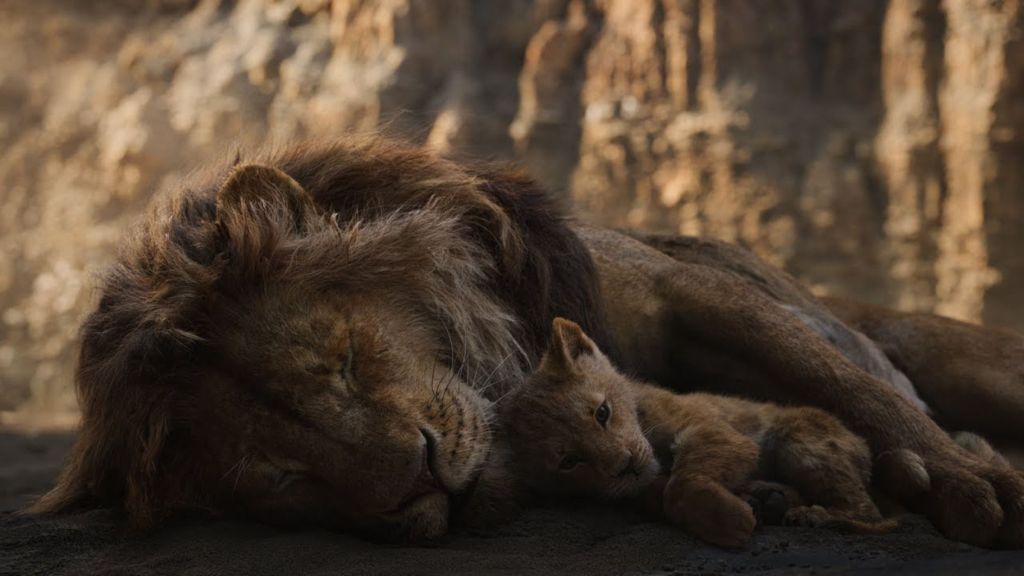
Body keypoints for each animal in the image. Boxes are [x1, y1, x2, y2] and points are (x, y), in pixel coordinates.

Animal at [502, 317, 897, 548]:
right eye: (569, 461)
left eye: (602, 413)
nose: (625, 465)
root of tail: (861, 444)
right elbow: (660, 492)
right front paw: (740, 509)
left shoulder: (715, 431)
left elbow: (682, 481)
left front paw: (728, 522)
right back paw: (771, 498)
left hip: (799, 442)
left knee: (876, 516)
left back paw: (816, 515)